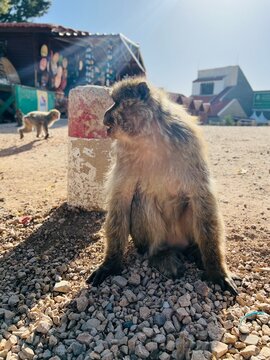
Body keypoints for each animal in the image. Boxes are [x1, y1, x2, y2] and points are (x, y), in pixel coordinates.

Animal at [88, 77, 238, 294]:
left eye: (116, 103)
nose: (105, 115)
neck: (150, 136)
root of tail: (177, 245)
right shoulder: (124, 153)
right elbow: (121, 199)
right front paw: (110, 264)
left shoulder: (187, 141)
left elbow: (202, 196)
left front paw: (216, 269)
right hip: (146, 240)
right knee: (143, 201)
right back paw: (159, 253)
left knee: (194, 207)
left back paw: (195, 250)